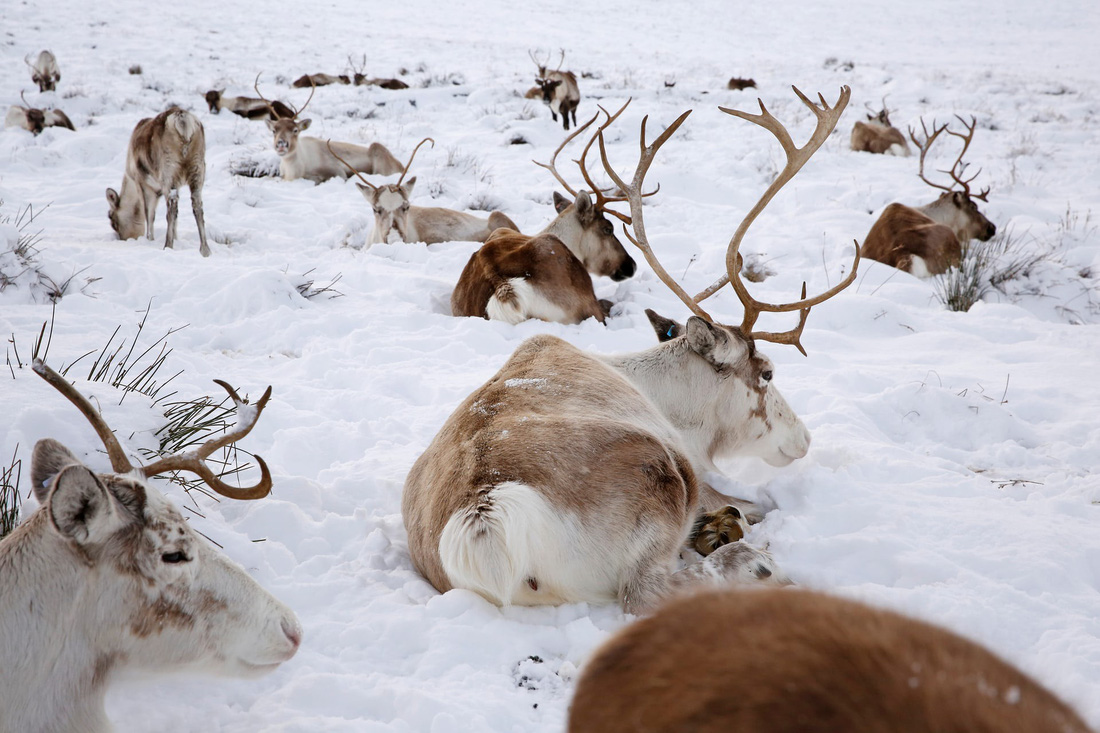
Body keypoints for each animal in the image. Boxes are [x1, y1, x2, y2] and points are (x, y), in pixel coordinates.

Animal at [106, 107, 211, 256]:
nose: (124, 239)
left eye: (113, 220)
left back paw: (168, 245)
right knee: (197, 206)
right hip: (198, 168)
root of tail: (183, 119)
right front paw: (176, 238)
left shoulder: (143, 184)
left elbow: (149, 215)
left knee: (171, 208)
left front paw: (150, 239)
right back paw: (205, 250)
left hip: (169, 171)